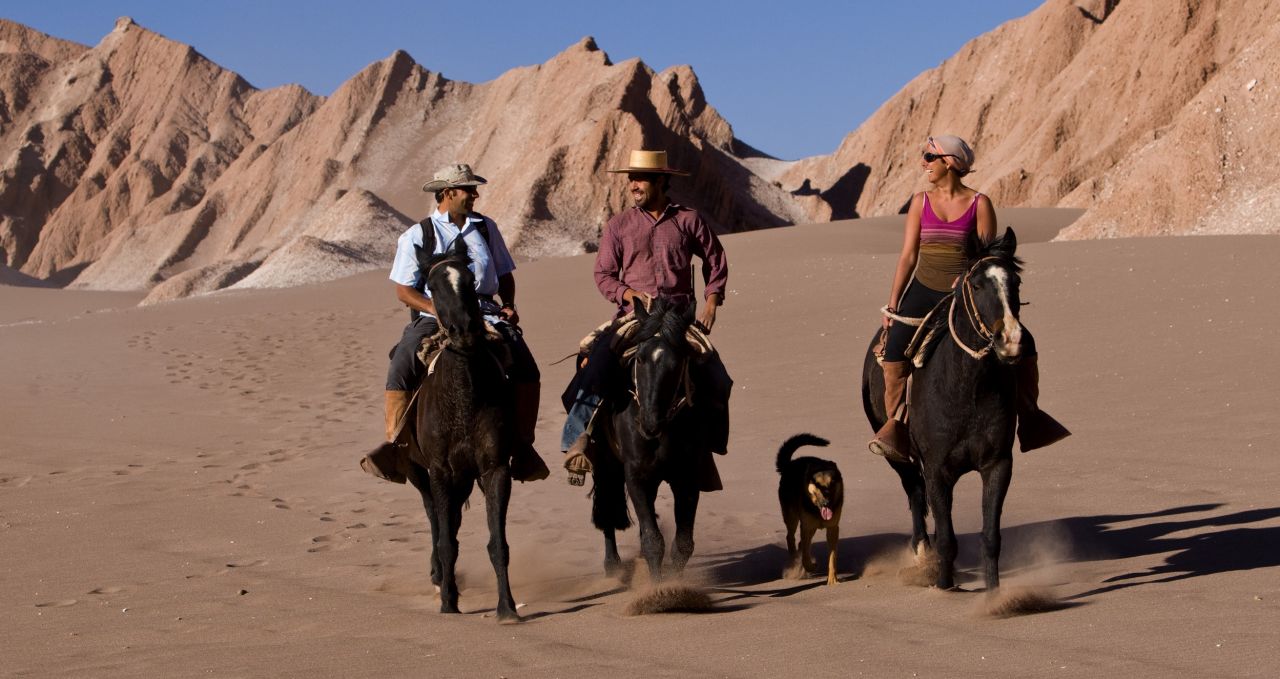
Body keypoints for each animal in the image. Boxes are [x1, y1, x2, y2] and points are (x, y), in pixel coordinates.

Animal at [401, 238, 517, 617]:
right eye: (432, 286)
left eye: (469, 280)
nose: (465, 332)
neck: (464, 396)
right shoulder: (439, 471)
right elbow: (446, 539)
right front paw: (448, 603)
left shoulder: (495, 469)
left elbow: (497, 543)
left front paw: (507, 608)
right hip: (417, 470)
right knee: (435, 518)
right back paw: (439, 577)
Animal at [591, 298, 721, 579]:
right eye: (639, 359)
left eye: (677, 363)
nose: (650, 424)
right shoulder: (635, 474)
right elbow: (653, 540)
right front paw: (657, 587)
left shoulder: (687, 476)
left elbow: (682, 544)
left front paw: (675, 584)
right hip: (606, 463)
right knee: (608, 507)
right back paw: (613, 565)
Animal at [773, 433, 844, 581]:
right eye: (817, 485)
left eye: (832, 483)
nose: (826, 503)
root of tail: (789, 465)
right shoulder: (806, 527)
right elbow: (805, 554)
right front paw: (809, 566)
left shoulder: (833, 528)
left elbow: (832, 557)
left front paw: (832, 580)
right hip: (792, 517)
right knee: (791, 538)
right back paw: (794, 560)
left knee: (800, 543)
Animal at [860, 226, 1029, 586]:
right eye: (976, 285)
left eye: (1016, 282)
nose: (1011, 340)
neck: (967, 390)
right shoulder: (937, 469)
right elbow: (947, 539)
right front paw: (944, 587)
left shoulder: (998, 464)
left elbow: (990, 537)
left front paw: (995, 592)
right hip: (898, 457)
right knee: (914, 493)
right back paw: (922, 553)